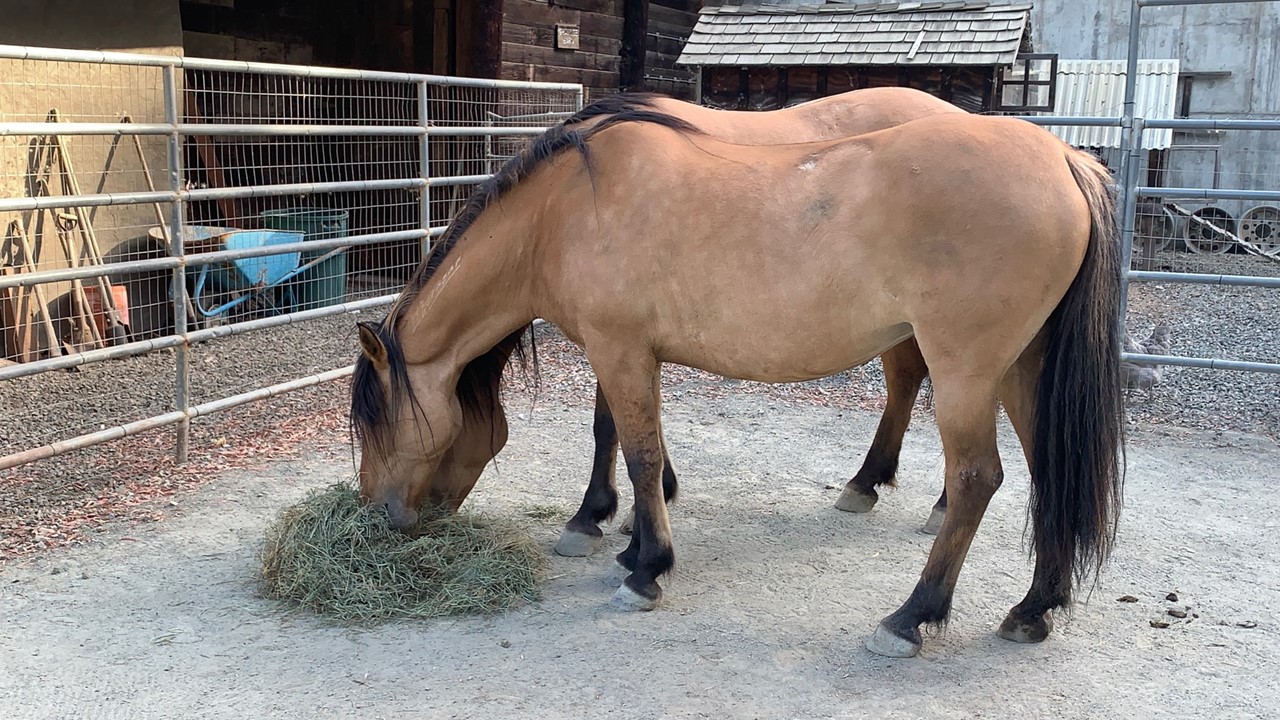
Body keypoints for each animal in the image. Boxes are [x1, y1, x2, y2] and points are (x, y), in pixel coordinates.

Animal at [555, 88, 964, 558]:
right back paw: (867, 482)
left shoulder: (617, 337)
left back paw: (931, 501)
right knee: (906, 383)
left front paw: (590, 514)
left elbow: (608, 426)